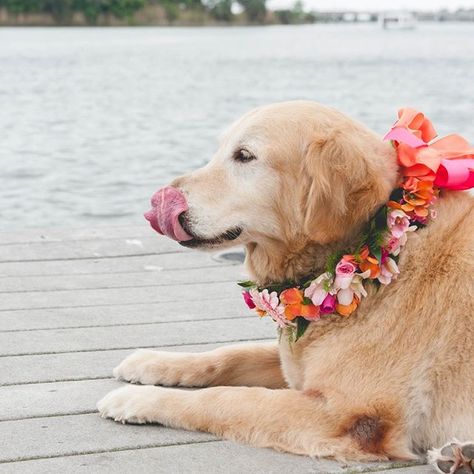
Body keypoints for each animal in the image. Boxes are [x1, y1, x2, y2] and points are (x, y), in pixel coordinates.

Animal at [97, 101, 474, 470]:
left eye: (244, 155)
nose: (159, 199)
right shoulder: (294, 362)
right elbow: (231, 354)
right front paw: (151, 362)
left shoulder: (346, 414)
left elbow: (226, 398)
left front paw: (138, 398)